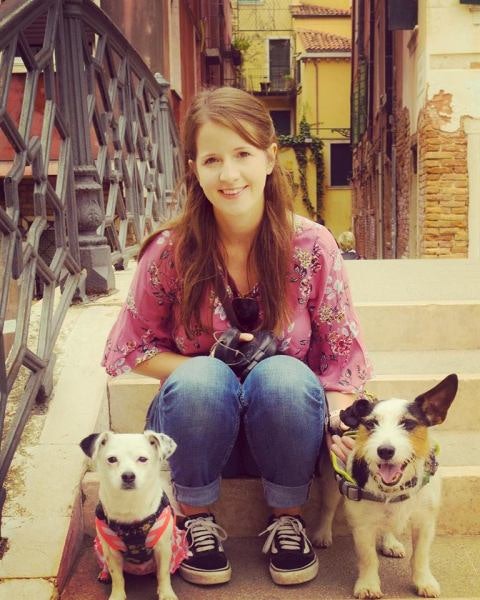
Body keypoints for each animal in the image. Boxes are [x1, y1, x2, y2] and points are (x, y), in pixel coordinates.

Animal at [79, 432, 187, 600]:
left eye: (142, 459)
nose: (128, 475)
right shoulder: (111, 552)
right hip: (101, 549)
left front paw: (166, 594)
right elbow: (117, 576)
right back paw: (104, 574)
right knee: (107, 567)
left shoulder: (163, 548)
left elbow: (163, 574)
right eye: (112, 459)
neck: (129, 503)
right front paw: (117, 595)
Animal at [314, 372, 460, 596]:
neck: (394, 489)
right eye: (371, 424)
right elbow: (368, 558)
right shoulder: (362, 524)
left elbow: (420, 556)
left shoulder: (425, 522)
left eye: (408, 424)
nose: (385, 451)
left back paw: (390, 542)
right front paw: (368, 585)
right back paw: (323, 534)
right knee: (327, 508)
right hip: (332, 482)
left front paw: (424, 581)